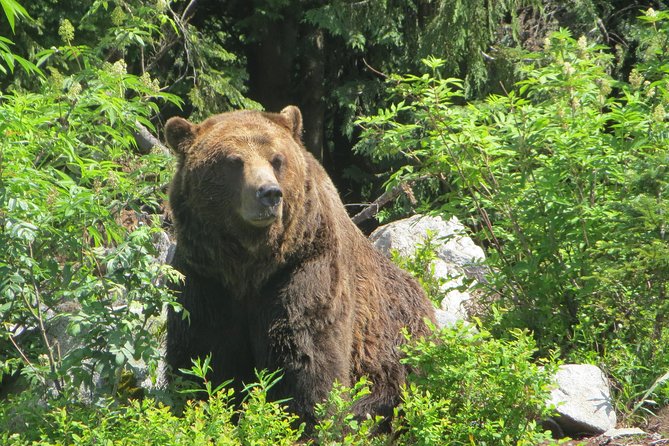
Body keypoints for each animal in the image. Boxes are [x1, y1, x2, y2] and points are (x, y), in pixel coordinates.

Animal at [162, 105, 434, 428]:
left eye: (277, 159)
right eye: (233, 161)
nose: (269, 193)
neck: (249, 265)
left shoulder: (305, 267)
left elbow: (306, 352)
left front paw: (308, 420)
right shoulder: (205, 276)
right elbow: (202, 352)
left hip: (399, 346)